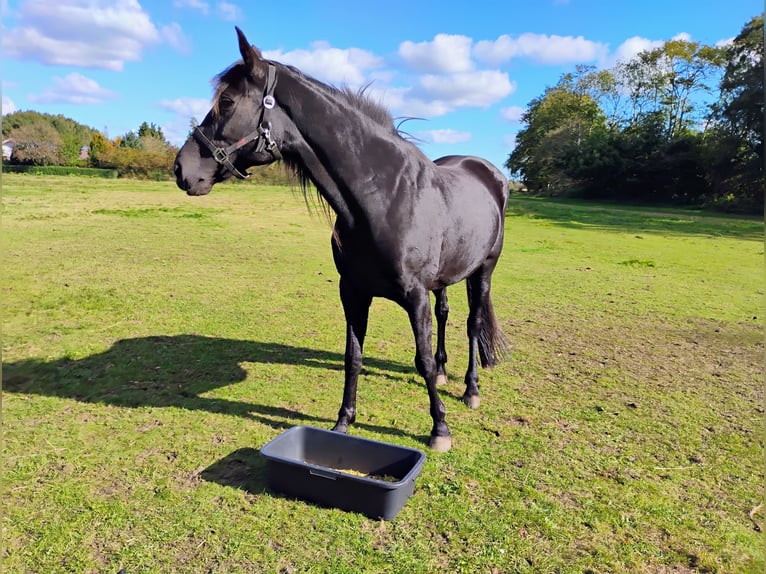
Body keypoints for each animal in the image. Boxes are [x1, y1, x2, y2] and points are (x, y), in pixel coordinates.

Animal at [175, 28, 510, 454]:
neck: (383, 196)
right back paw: (447, 374)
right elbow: (354, 356)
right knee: (445, 314)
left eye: (228, 102)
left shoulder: (414, 295)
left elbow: (421, 360)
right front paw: (343, 422)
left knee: (471, 323)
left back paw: (470, 389)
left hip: (483, 270)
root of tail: (489, 173)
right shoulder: (352, 291)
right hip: (446, 279)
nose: (181, 169)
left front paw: (439, 429)